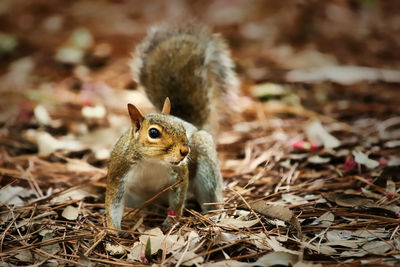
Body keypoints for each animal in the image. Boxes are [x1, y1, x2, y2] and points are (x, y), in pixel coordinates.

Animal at [104, 23, 239, 232]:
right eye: (153, 133)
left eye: (182, 128)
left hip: (206, 166)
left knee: (209, 193)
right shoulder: (119, 172)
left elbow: (177, 200)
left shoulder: (180, 175)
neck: (152, 162)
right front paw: (111, 231)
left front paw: (171, 222)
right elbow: (113, 203)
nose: (185, 151)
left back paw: (212, 214)